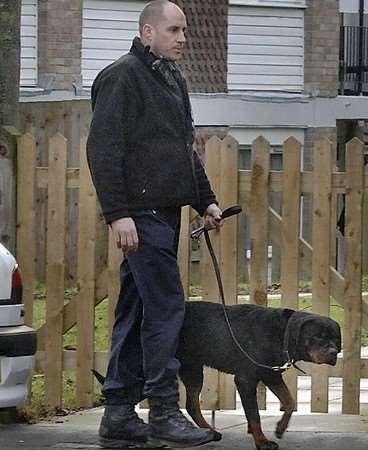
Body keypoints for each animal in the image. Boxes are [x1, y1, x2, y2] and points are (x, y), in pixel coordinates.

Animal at [176, 298, 342, 450]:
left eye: (336, 338)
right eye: (318, 336)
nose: (333, 352)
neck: (281, 334)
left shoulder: (271, 375)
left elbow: (289, 401)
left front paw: (280, 428)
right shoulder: (245, 380)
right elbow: (254, 414)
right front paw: (262, 441)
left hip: (193, 369)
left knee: (191, 405)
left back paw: (209, 432)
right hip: (191, 370)